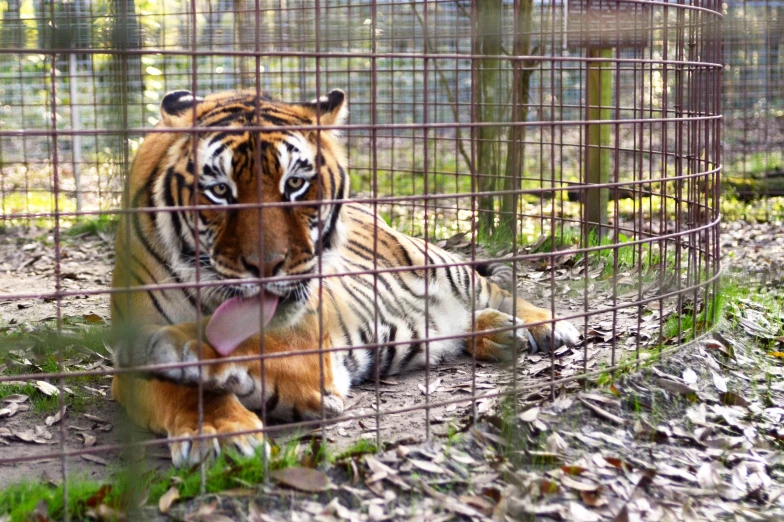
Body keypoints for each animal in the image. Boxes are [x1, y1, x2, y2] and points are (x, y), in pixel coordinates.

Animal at [110, 87, 580, 466]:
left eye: (295, 184)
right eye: (220, 191)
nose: (268, 264)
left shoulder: (305, 331)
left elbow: (243, 341)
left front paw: (178, 349)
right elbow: (180, 389)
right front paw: (218, 432)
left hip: (439, 263)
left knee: (498, 290)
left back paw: (544, 325)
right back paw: (501, 333)